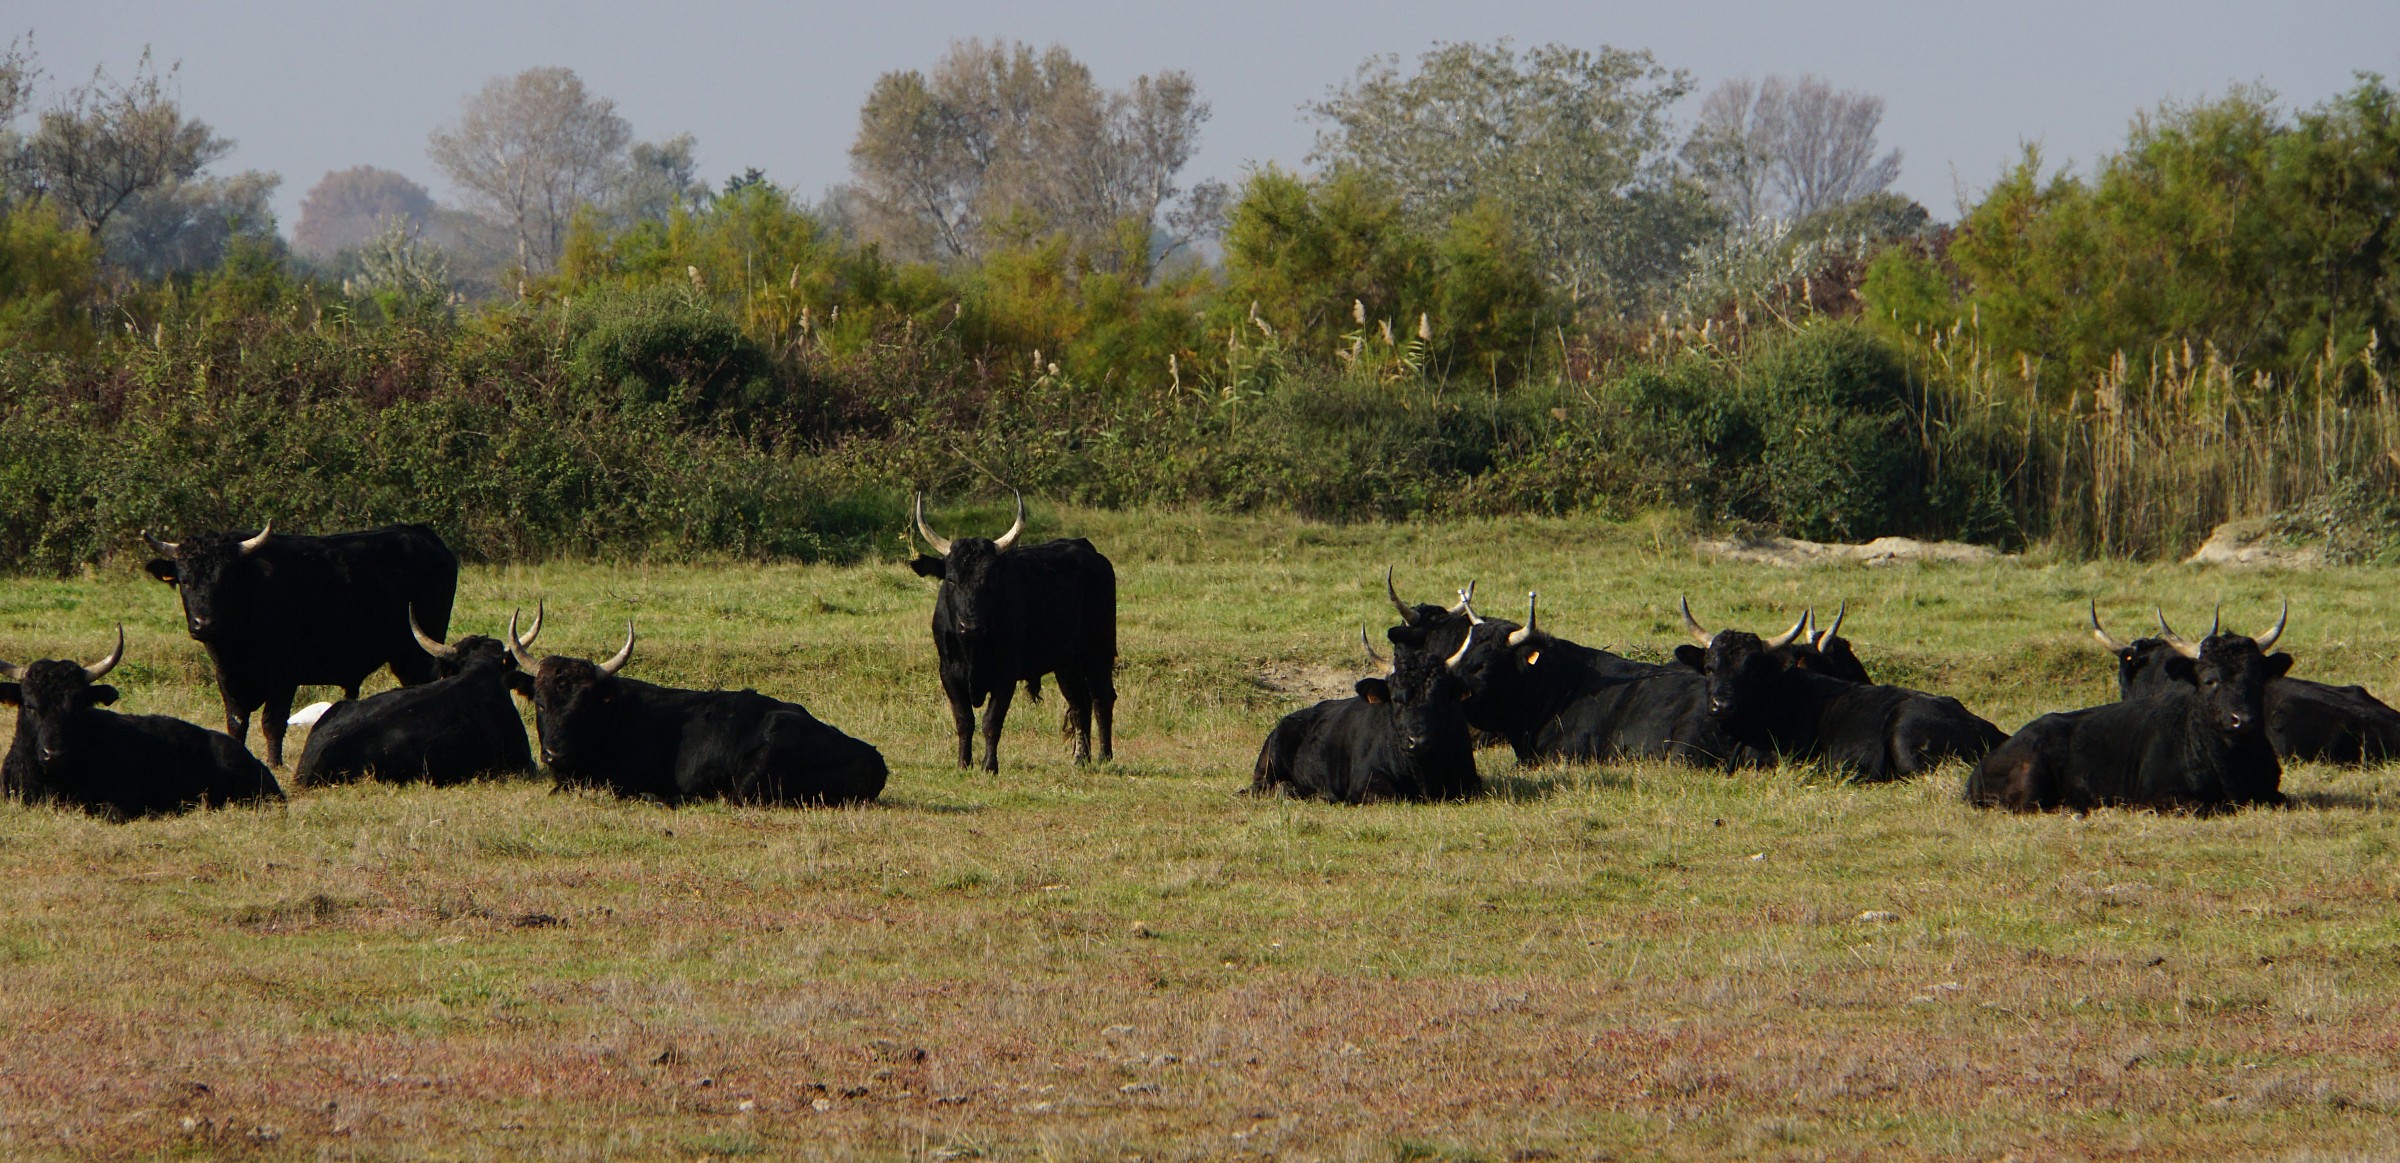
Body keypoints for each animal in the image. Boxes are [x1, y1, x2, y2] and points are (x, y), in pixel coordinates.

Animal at [142, 522, 460, 767]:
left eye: (226, 579)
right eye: (185, 580)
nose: (204, 623)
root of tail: (418, 532)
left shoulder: (282, 677)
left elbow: (272, 722)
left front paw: (274, 763)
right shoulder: (227, 677)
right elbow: (237, 722)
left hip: (417, 652)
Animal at [908, 493, 1117, 773]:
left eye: (990, 579)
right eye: (951, 579)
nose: (970, 626)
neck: (974, 649)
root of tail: (1087, 549)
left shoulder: (1005, 675)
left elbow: (991, 721)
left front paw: (989, 766)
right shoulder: (948, 673)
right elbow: (964, 720)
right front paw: (963, 763)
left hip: (1098, 650)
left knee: (1101, 698)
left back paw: (1105, 756)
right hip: (1066, 663)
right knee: (1079, 703)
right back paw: (1080, 758)